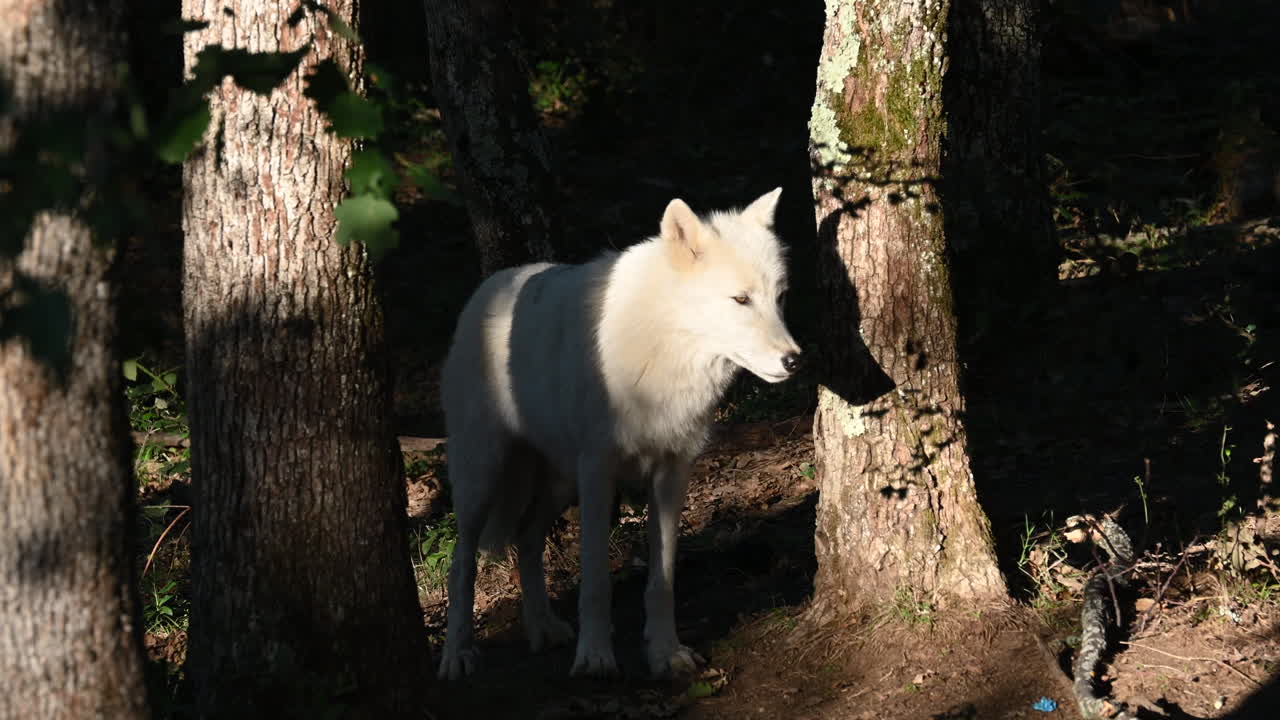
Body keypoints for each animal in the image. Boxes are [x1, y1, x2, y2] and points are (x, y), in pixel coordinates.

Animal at [437, 188, 802, 679]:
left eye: (779, 299)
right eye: (740, 299)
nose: (794, 360)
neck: (663, 348)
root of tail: (486, 288)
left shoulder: (672, 472)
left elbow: (662, 579)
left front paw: (666, 653)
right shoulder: (598, 470)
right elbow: (595, 578)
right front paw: (595, 657)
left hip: (557, 482)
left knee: (527, 539)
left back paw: (543, 627)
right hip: (484, 477)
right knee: (462, 562)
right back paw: (457, 653)